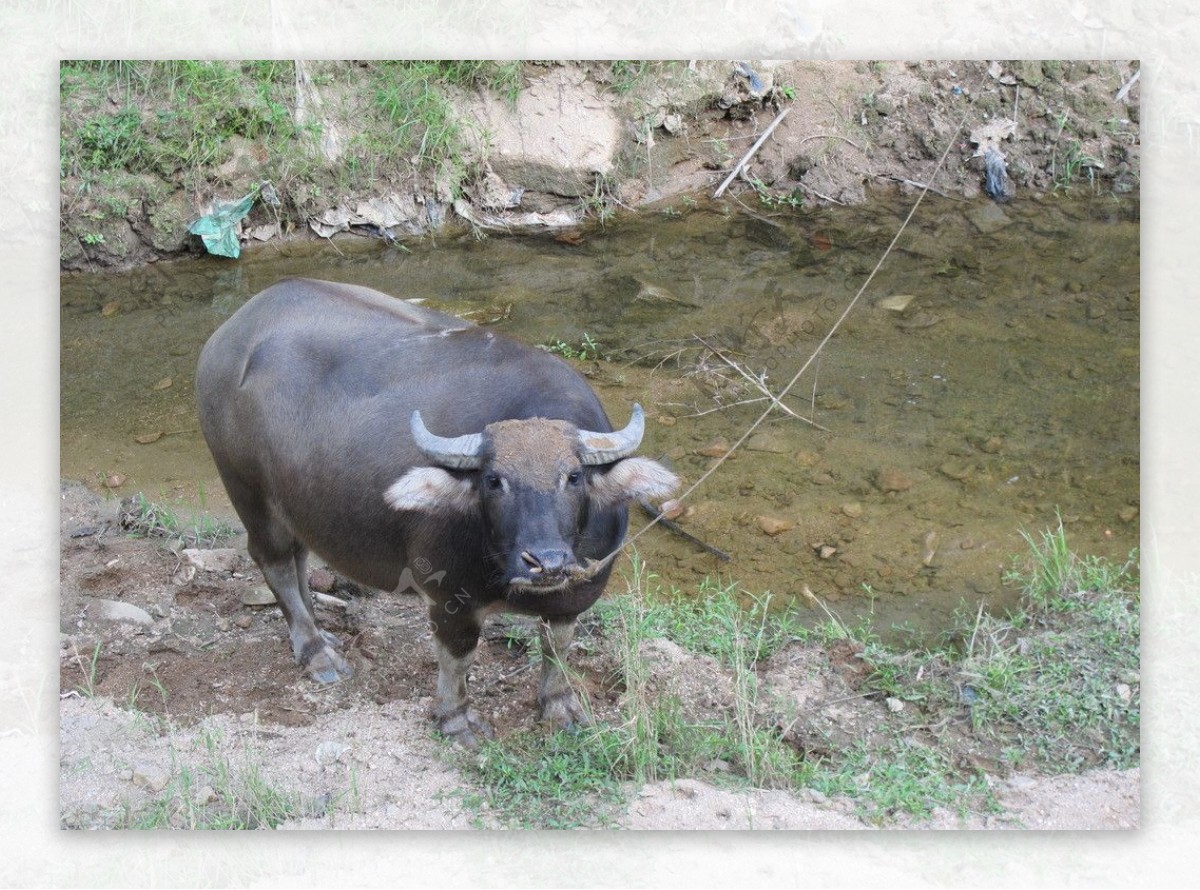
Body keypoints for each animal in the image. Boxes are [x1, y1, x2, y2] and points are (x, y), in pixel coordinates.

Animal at [201, 277, 681, 743]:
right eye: (493, 481)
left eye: (574, 476)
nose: (546, 562)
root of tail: (230, 336)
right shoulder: (450, 598)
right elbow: (458, 660)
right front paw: (455, 720)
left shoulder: (572, 598)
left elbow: (558, 648)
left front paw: (559, 707)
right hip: (248, 491)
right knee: (275, 561)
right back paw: (316, 653)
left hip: (296, 504)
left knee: (299, 555)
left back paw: (322, 633)